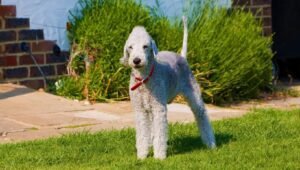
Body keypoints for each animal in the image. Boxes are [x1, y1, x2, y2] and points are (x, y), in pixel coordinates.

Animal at [119, 16, 216, 159]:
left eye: (145, 46)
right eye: (130, 47)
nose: (136, 60)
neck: (144, 78)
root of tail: (182, 56)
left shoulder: (159, 108)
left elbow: (160, 133)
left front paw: (159, 157)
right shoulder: (140, 109)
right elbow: (142, 134)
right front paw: (142, 155)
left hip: (193, 94)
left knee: (201, 115)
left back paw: (211, 144)